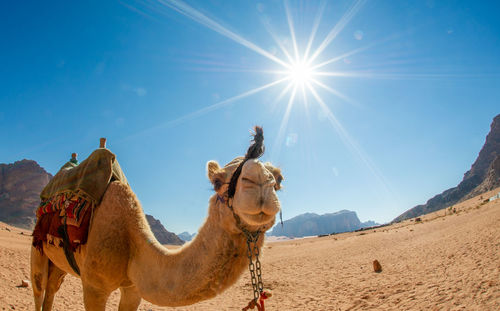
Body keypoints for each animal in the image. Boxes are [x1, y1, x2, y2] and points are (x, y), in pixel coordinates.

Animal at [30, 128, 282, 310]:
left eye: (279, 179)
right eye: (217, 182)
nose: (258, 183)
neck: (131, 243)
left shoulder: (133, 289)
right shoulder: (93, 287)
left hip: (59, 263)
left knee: (51, 290)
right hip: (38, 248)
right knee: (40, 289)